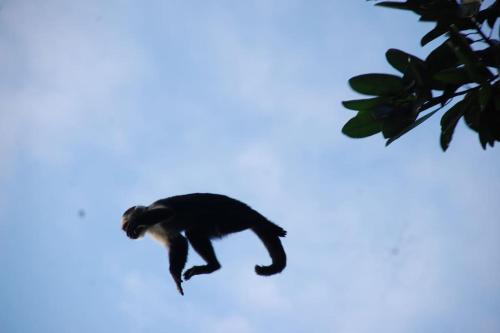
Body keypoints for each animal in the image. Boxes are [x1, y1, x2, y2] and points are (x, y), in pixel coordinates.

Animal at [119, 193, 288, 294]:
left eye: (126, 226)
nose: (129, 234)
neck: (149, 226)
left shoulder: (152, 212)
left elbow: (167, 212)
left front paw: (135, 222)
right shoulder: (155, 232)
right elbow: (178, 242)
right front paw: (175, 276)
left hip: (228, 215)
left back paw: (267, 225)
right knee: (195, 232)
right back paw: (212, 266)